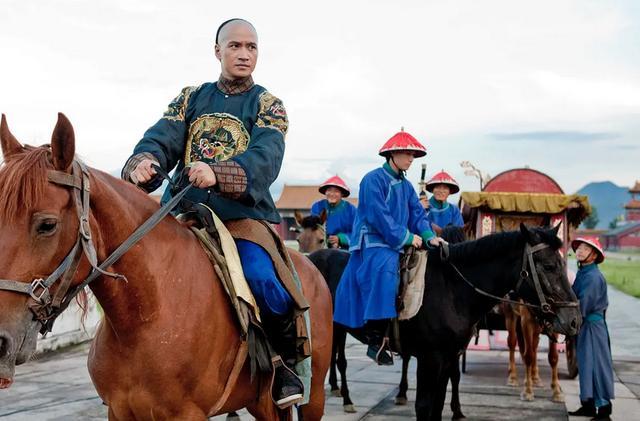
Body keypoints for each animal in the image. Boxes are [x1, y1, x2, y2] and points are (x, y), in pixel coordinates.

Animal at [0, 113, 332, 418]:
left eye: (47, 225)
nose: (1, 342)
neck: (145, 316)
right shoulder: (119, 410)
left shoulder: (186, 414)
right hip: (262, 402)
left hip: (313, 394)